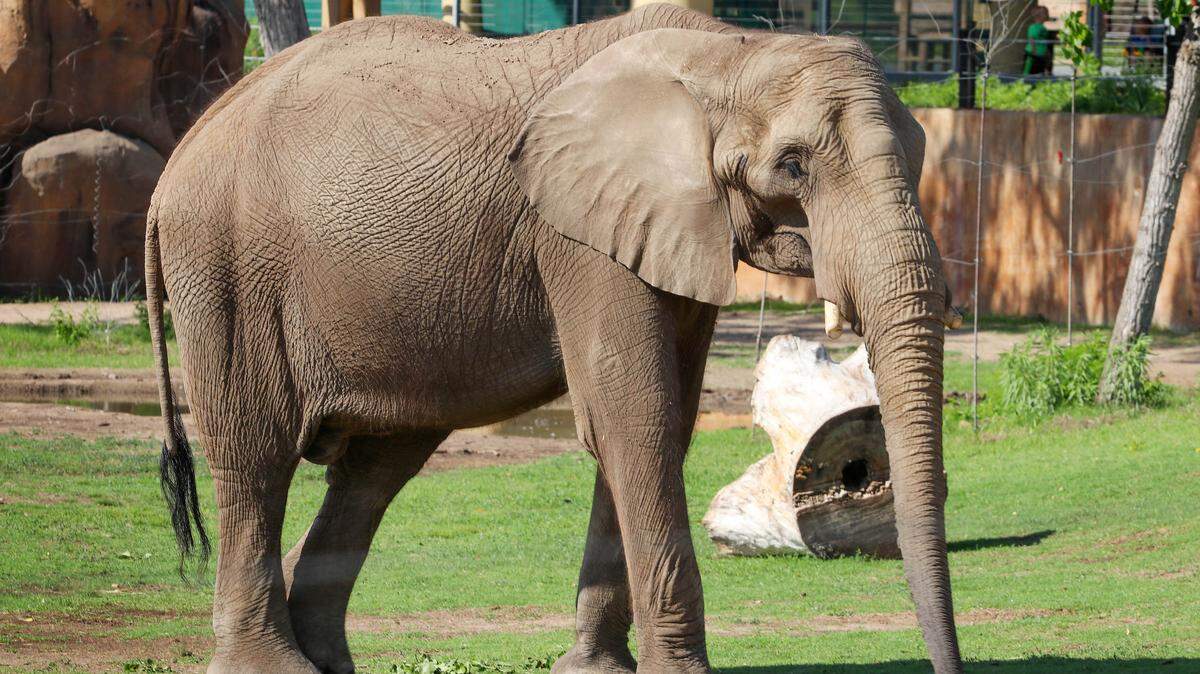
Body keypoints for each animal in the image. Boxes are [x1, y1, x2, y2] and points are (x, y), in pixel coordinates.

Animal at [146, 4, 963, 673]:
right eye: (793, 165)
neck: (726, 52)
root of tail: (177, 157)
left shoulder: (664, 224)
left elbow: (660, 419)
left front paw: (597, 670)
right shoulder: (576, 234)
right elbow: (632, 417)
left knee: (377, 466)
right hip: (224, 271)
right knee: (255, 455)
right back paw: (269, 664)